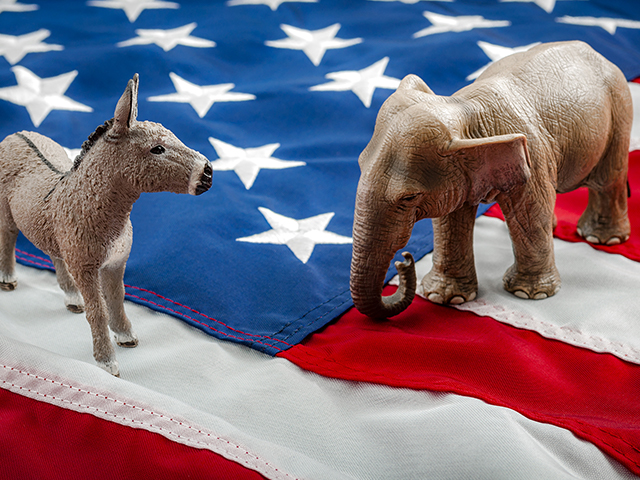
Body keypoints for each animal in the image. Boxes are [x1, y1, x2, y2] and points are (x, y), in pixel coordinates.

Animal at [352, 40, 632, 318]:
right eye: (359, 164)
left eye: (409, 197)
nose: (405, 260)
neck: (466, 110)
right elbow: (451, 219)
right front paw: (445, 297)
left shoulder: (532, 157)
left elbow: (530, 214)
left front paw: (528, 294)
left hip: (619, 110)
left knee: (607, 179)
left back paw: (602, 239)